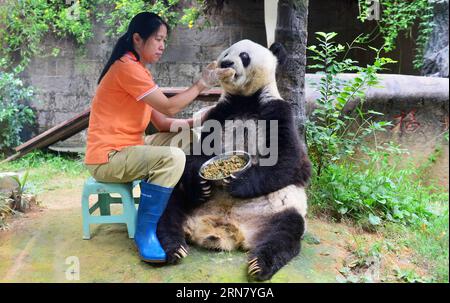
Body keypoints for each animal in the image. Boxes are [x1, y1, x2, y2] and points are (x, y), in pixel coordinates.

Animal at [156, 40, 312, 282]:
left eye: (244, 56)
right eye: (226, 53)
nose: (226, 64)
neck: (245, 99)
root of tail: (226, 227)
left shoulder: (276, 110)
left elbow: (291, 160)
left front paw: (239, 182)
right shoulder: (220, 112)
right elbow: (197, 152)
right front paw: (201, 183)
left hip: (281, 208)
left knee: (286, 231)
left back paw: (260, 264)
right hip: (191, 202)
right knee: (171, 206)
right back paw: (174, 247)